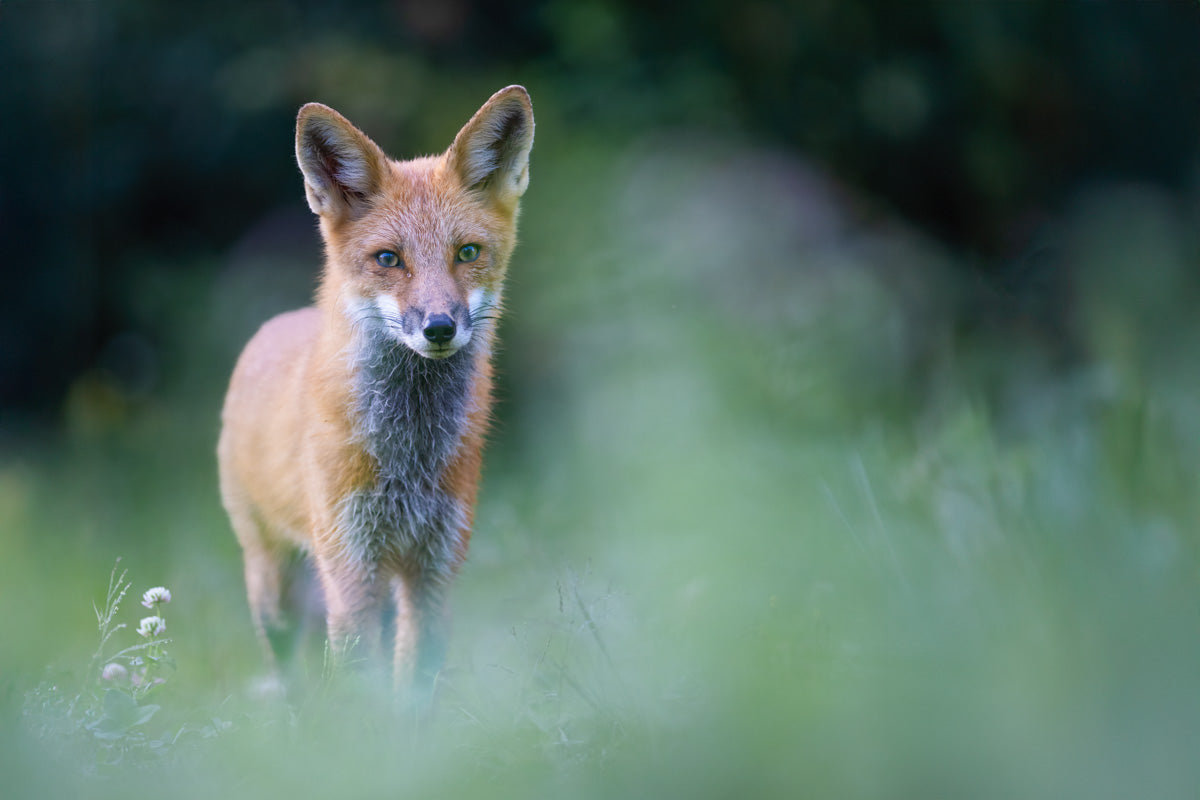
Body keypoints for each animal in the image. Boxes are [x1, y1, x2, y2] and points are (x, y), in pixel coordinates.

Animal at [217, 86, 534, 692]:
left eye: (468, 252)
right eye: (389, 258)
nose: (439, 327)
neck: (407, 456)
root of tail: (278, 323)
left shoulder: (434, 570)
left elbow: (411, 696)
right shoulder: (350, 569)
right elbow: (357, 693)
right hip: (277, 589)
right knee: (291, 679)